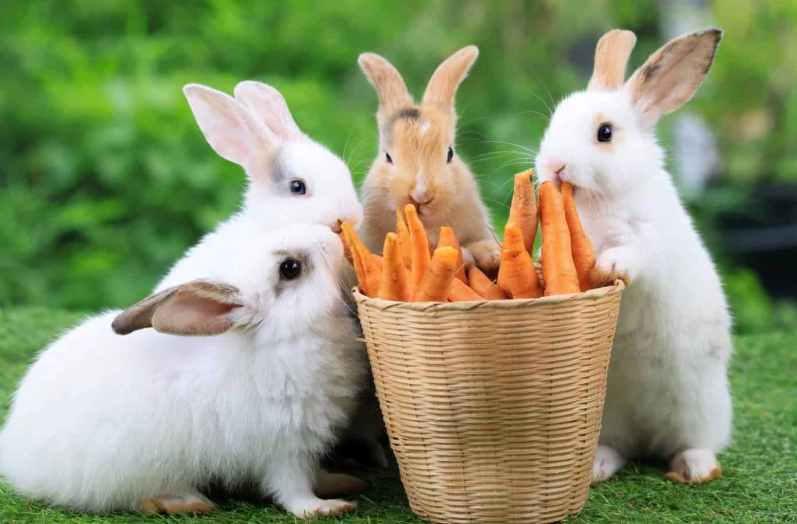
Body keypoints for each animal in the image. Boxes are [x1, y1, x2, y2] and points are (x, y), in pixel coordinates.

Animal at [0, 224, 369, 518]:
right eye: (290, 268)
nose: (332, 233)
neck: (282, 338)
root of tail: (16, 453)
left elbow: (316, 473)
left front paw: (342, 482)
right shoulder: (283, 447)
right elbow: (293, 489)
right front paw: (324, 507)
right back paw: (187, 502)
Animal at [534, 28, 732, 485]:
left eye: (605, 133)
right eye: (553, 122)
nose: (553, 166)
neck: (599, 201)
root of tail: (647, 437)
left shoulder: (649, 241)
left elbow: (633, 255)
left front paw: (608, 266)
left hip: (703, 410)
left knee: (694, 442)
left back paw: (694, 468)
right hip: (609, 418)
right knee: (619, 448)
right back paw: (598, 467)